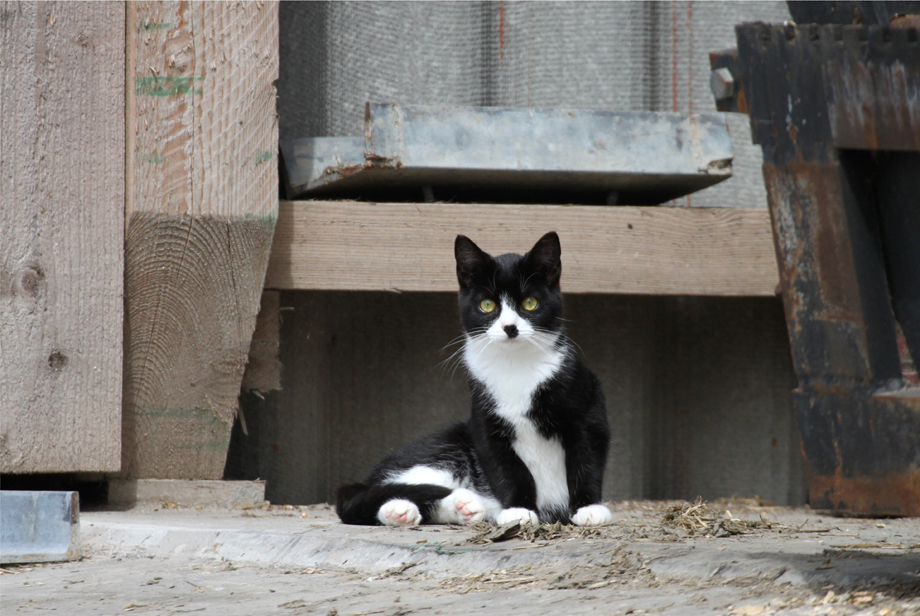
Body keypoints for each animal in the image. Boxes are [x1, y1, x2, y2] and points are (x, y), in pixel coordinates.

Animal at [334, 233, 616, 528]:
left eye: (530, 303)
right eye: (487, 305)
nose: (510, 327)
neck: (515, 367)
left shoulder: (587, 405)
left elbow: (587, 459)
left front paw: (589, 508)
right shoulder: (484, 423)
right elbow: (507, 468)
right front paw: (518, 510)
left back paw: (450, 508)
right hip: (445, 451)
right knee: (372, 493)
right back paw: (401, 509)